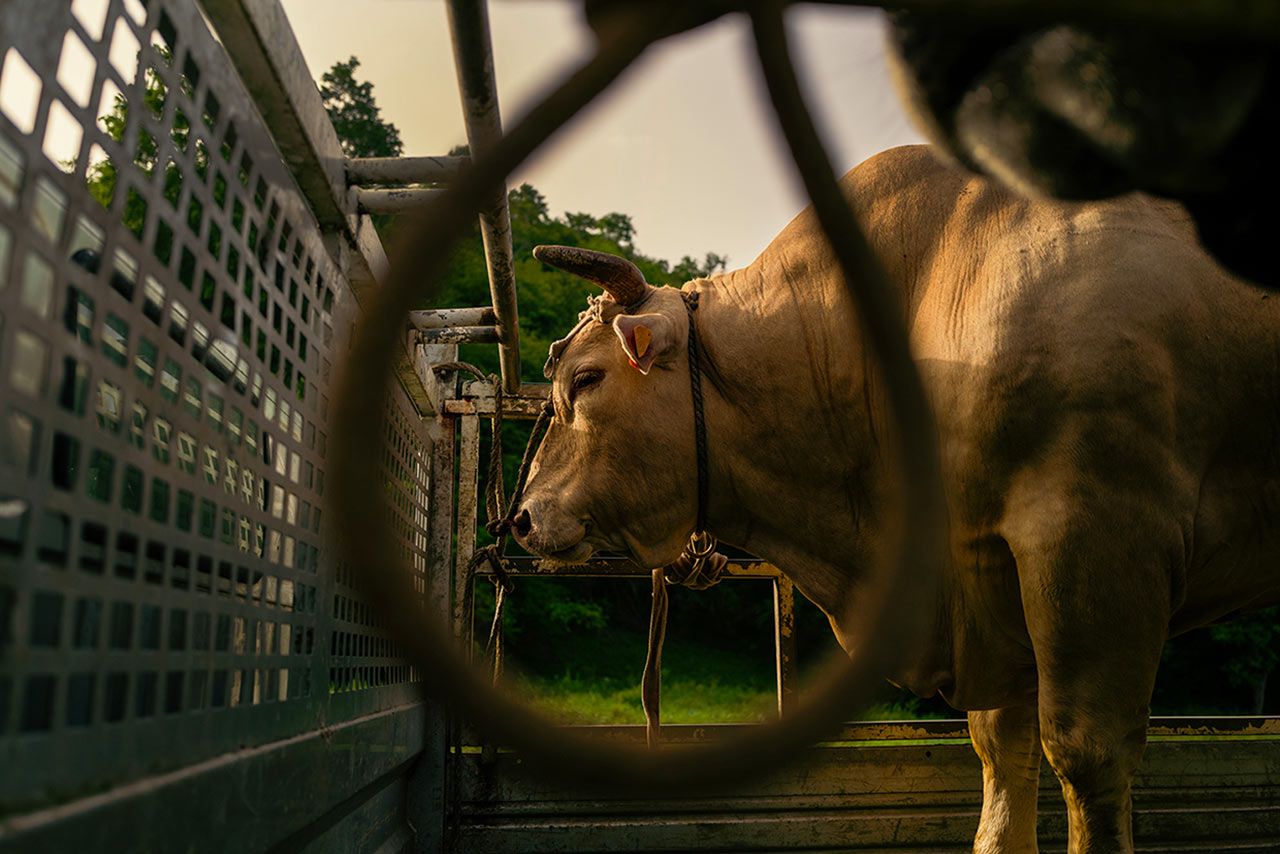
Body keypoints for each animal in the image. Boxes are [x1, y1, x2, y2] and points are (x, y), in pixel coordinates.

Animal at [509, 147, 1280, 854]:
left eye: (585, 379)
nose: (520, 517)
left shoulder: (1095, 540)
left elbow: (1086, 754)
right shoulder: (991, 581)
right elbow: (1003, 750)